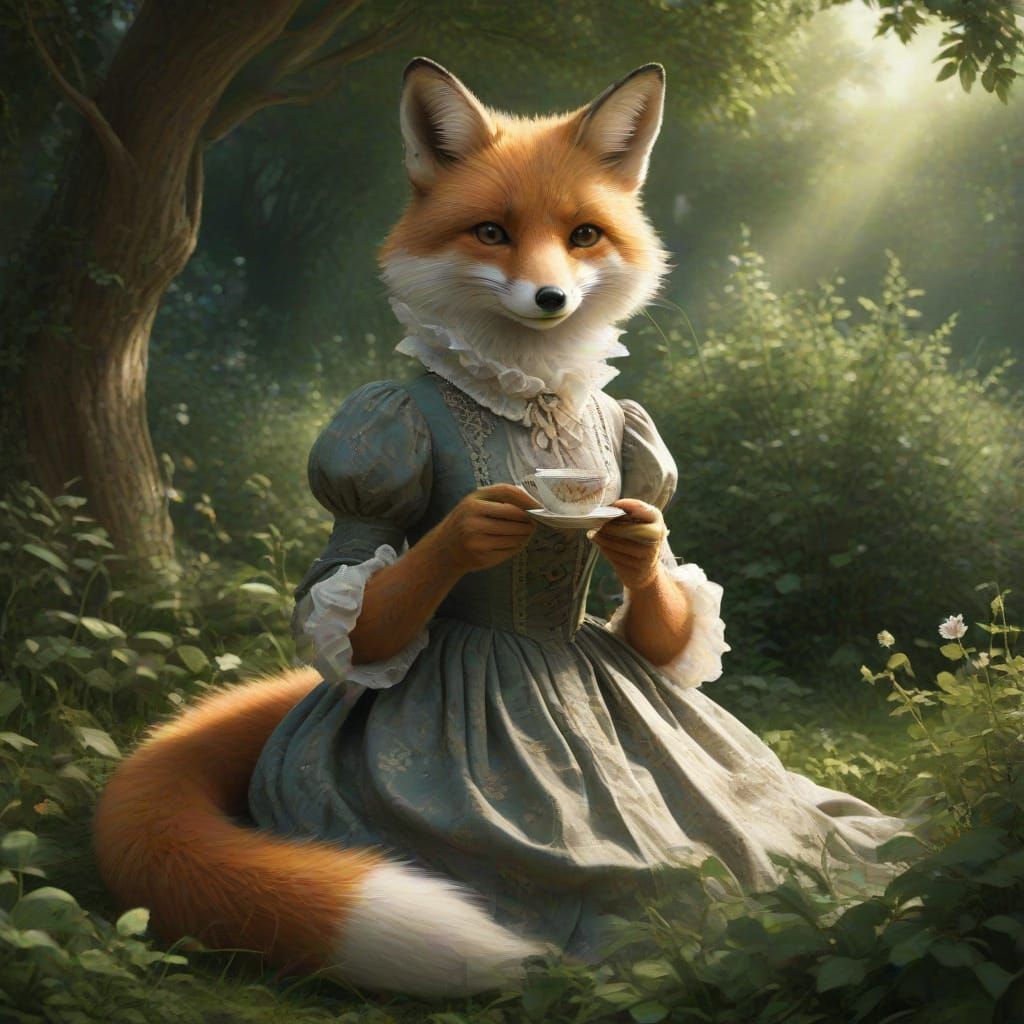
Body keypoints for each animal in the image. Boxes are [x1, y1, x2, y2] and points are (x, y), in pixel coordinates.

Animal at [94, 57, 670, 999]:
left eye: (583, 235)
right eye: (491, 232)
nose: (549, 296)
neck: (536, 396)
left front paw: (639, 543)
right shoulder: (371, 448)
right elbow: (345, 586)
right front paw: (474, 530)